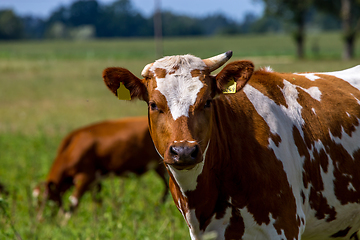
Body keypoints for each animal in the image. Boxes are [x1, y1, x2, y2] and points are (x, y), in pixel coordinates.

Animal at [33, 116, 168, 218]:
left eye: (46, 199)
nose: (39, 220)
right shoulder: (95, 180)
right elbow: (98, 200)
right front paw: (101, 219)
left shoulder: (85, 177)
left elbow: (74, 201)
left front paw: (65, 223)